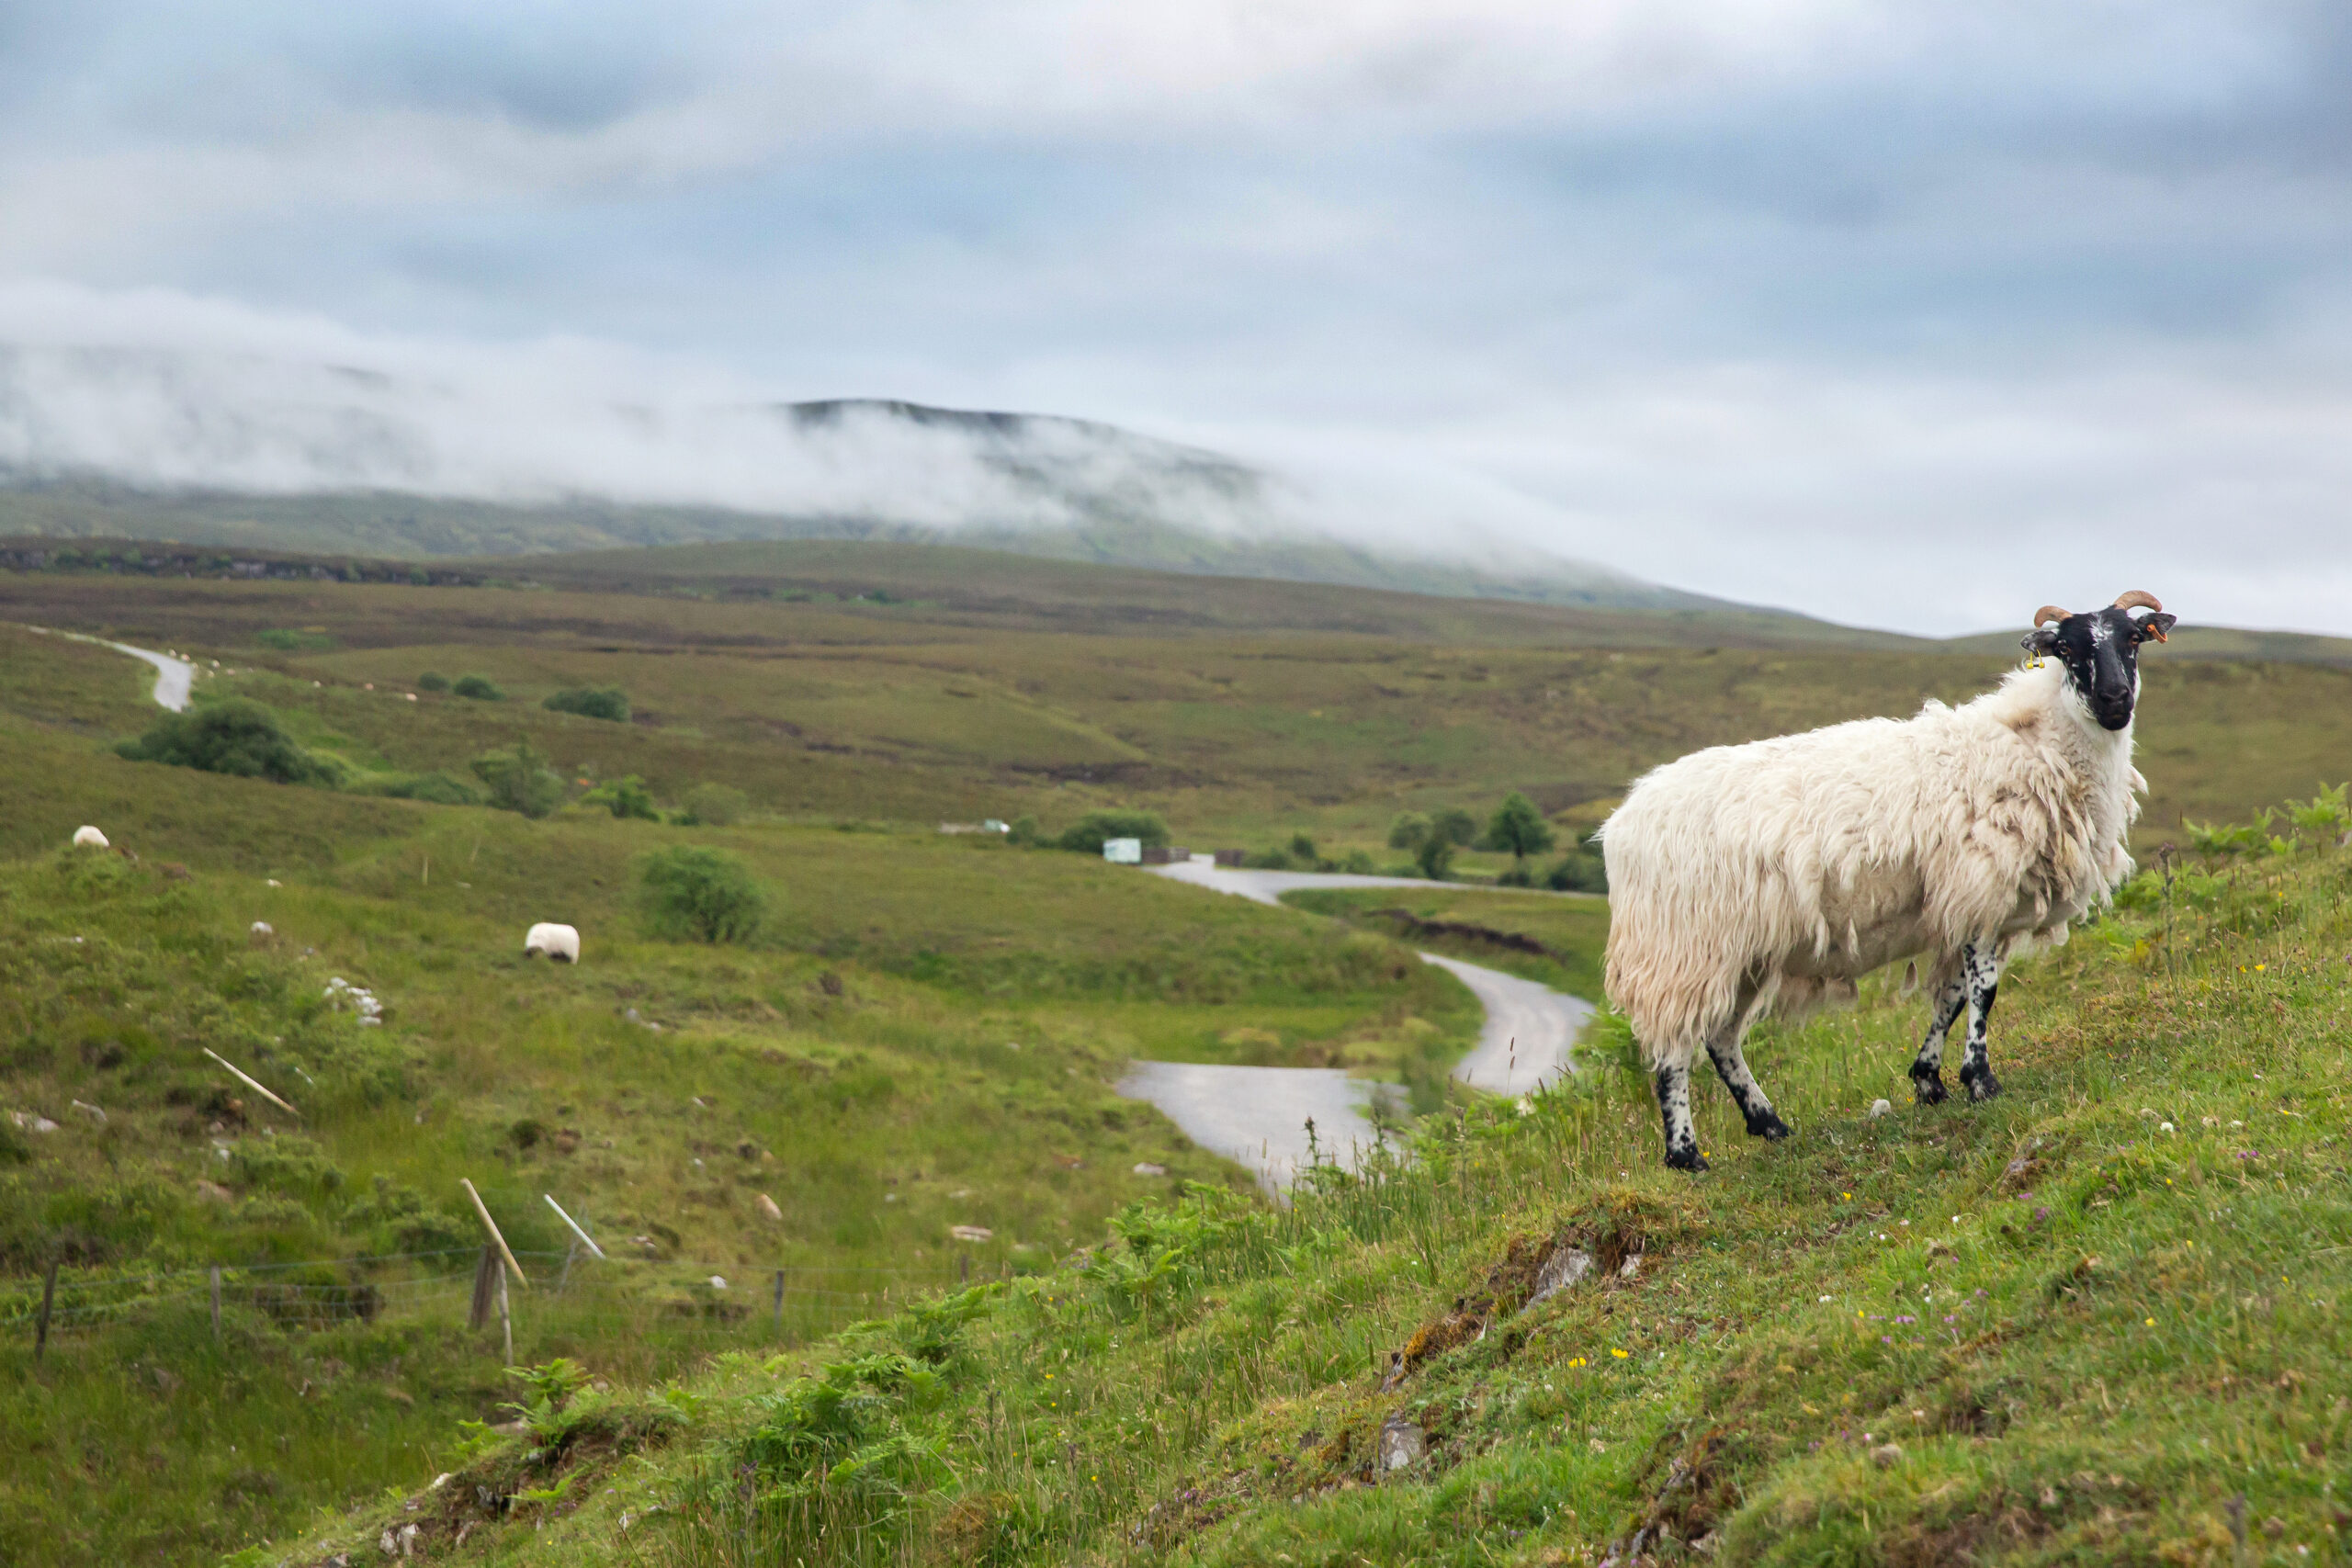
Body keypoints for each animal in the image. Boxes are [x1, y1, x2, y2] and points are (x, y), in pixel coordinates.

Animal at [1598, 591, 2176, 1171]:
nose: (2114, 700)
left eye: (2132, 639)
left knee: (1720, 1039)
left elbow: (1952, 996)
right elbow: (1983, 991)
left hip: (1742, 952)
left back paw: (1769, 1123)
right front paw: (1980, 1081)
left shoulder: (1963, 905)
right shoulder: (1979, 888)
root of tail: (1622, 823)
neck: (2036, 745)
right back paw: (1685, 1154)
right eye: (2067, 649)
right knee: (1673, 1051)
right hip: (1682, 947)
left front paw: (1929, 1081)